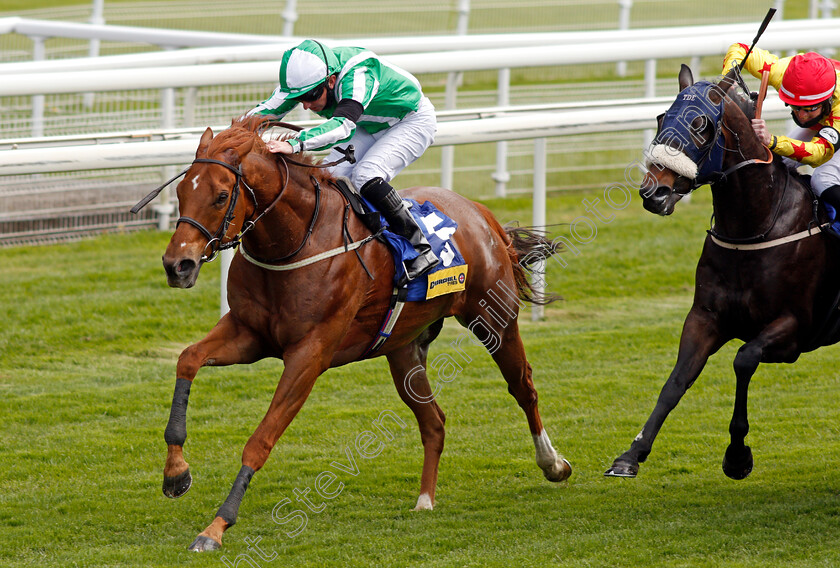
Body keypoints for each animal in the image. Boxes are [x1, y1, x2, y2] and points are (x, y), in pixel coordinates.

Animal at [153, 115, 572, 552]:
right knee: (434, 421)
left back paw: (554, 464)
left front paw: (216, 527)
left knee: (523, 388)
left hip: (495, 319)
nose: (177, 265)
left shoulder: (309, 354)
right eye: (181, 192)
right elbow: (188, 359)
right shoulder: (248, 333)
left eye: (220, 196)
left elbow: (260, 441)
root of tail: (481, 213)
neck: (296, 242)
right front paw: (176, 474)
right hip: (403, 348)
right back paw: (425, 499)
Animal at [604, 67, 840, 480]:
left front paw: (737, 455)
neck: (755, 227)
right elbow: (676, 380)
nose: (654, 194)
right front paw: (632, 454)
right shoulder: (704, 317)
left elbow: (743, 359)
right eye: (661, 118)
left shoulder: (795, 327)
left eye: (701, 126)